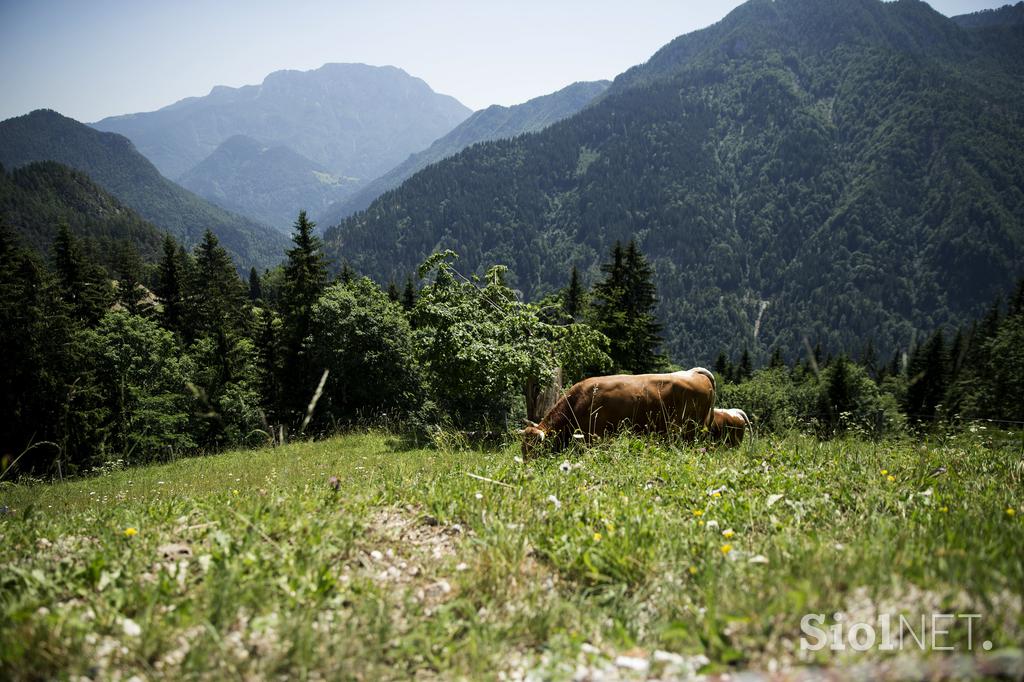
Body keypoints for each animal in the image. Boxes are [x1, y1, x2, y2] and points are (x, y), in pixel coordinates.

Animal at [524, 366, 716, 456]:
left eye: (534, 449)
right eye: (522, 448)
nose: (527, 468)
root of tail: (694, 372)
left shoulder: (594, 435)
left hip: (688, 428)